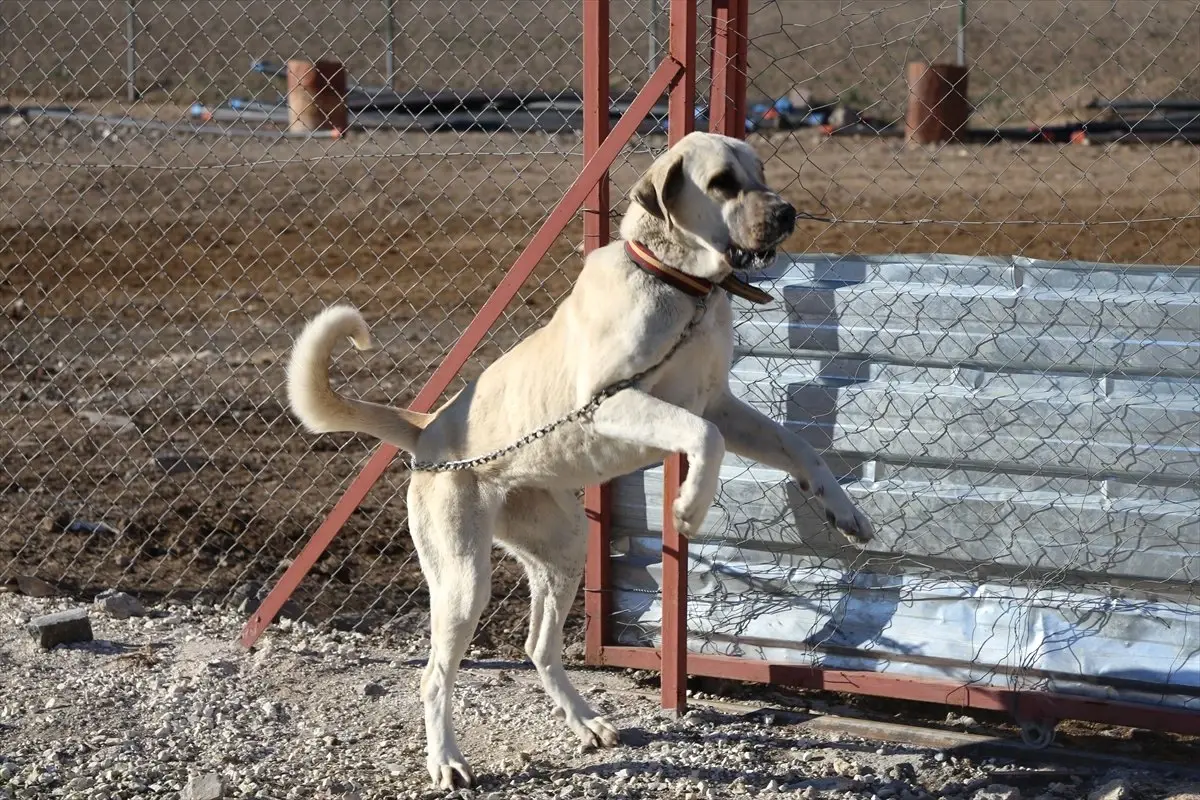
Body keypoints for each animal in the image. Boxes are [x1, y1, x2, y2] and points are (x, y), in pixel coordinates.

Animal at [290, 130, 873, 786]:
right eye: (723, 182)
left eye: (762, 172)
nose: (788, 213)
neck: (682, 288)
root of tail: (426, 431)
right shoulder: (613, 403)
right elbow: (704, 440)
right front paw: (689, 508)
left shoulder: (721, 405)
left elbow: (798, 446)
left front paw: (845, 513)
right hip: (463, 582)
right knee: (435, 675)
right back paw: (447, 761)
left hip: (563, 551)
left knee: (538, 648)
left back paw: (587, 722)